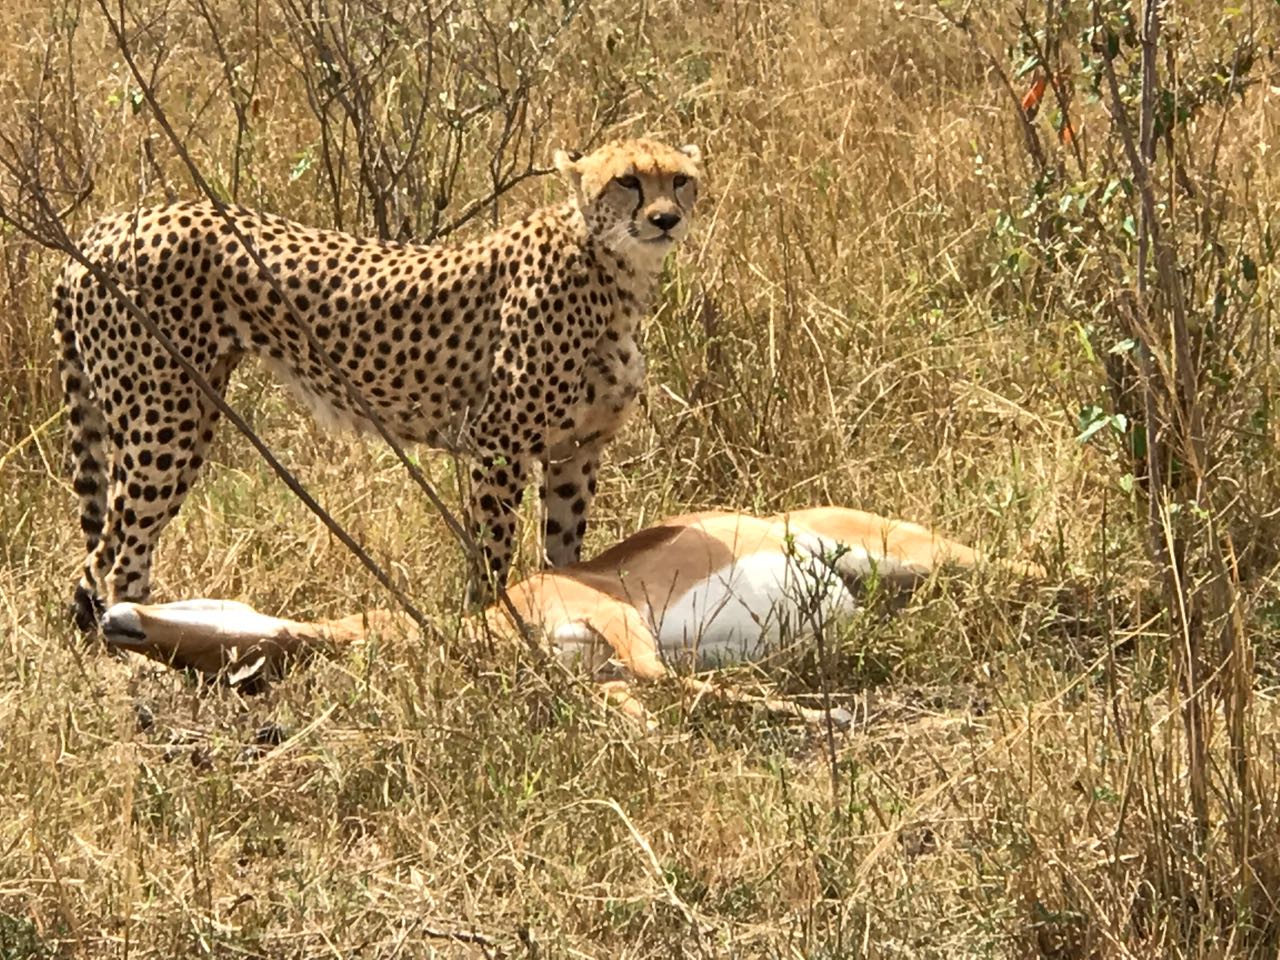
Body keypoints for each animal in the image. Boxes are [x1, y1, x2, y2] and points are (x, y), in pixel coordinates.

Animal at [53, 137, 703, 630]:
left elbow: (565, 553)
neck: (614, 270)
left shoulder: (576, 451)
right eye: (626, 181)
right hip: (163, 423)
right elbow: (493, 549)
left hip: (189, 414)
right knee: (112, 558)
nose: (665, 219)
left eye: (680, 179)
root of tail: (105, 226)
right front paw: (491, 626)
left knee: (107, 553)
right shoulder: (497, 445)